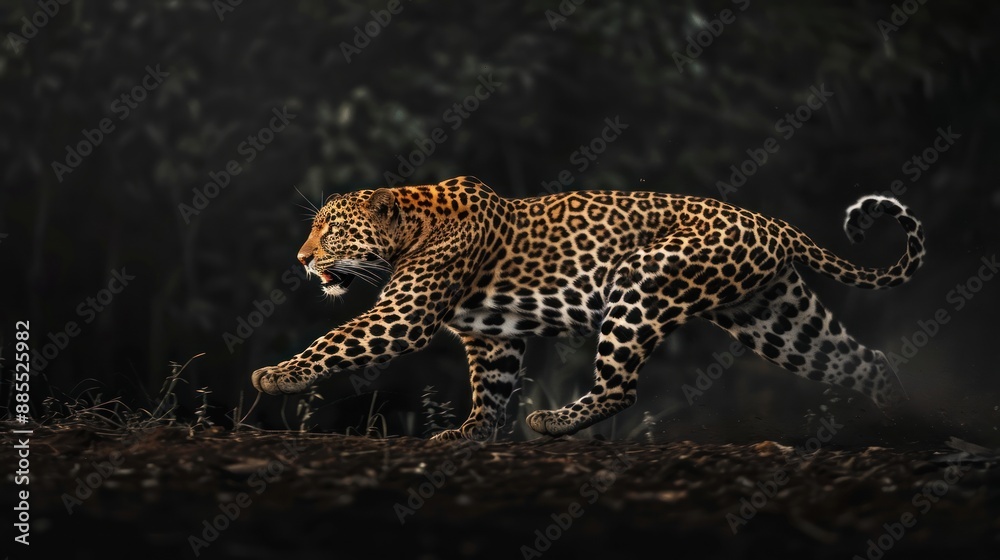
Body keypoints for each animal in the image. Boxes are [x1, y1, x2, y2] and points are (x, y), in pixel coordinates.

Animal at [251, 176, 924, 441]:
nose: (302, 258)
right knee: (863, 361)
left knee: (621, 387)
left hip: (642, 282)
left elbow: (336, 341)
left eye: (331, 229)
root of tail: (775, 224)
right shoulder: (491, 339)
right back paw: (905, 426)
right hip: (776, 317)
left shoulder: (402, 316)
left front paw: (275, 376)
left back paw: (552, 422)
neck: (412, 226)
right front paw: (469, 434)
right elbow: (490, 388)